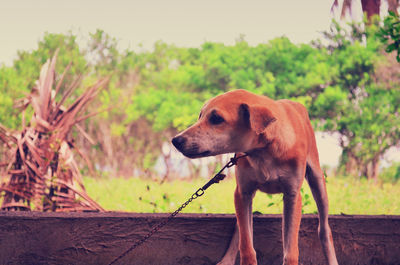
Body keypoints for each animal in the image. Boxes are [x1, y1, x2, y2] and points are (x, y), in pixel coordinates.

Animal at [172, 89, 338, 262]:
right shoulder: (242, 193)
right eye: (200, 116)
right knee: (240, 230)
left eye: (217, 118)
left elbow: (291, 251)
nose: (176, 141)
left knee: (324, 229)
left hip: (317, 181)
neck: (264, 151)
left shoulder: (292, 196)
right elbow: (246, 246)